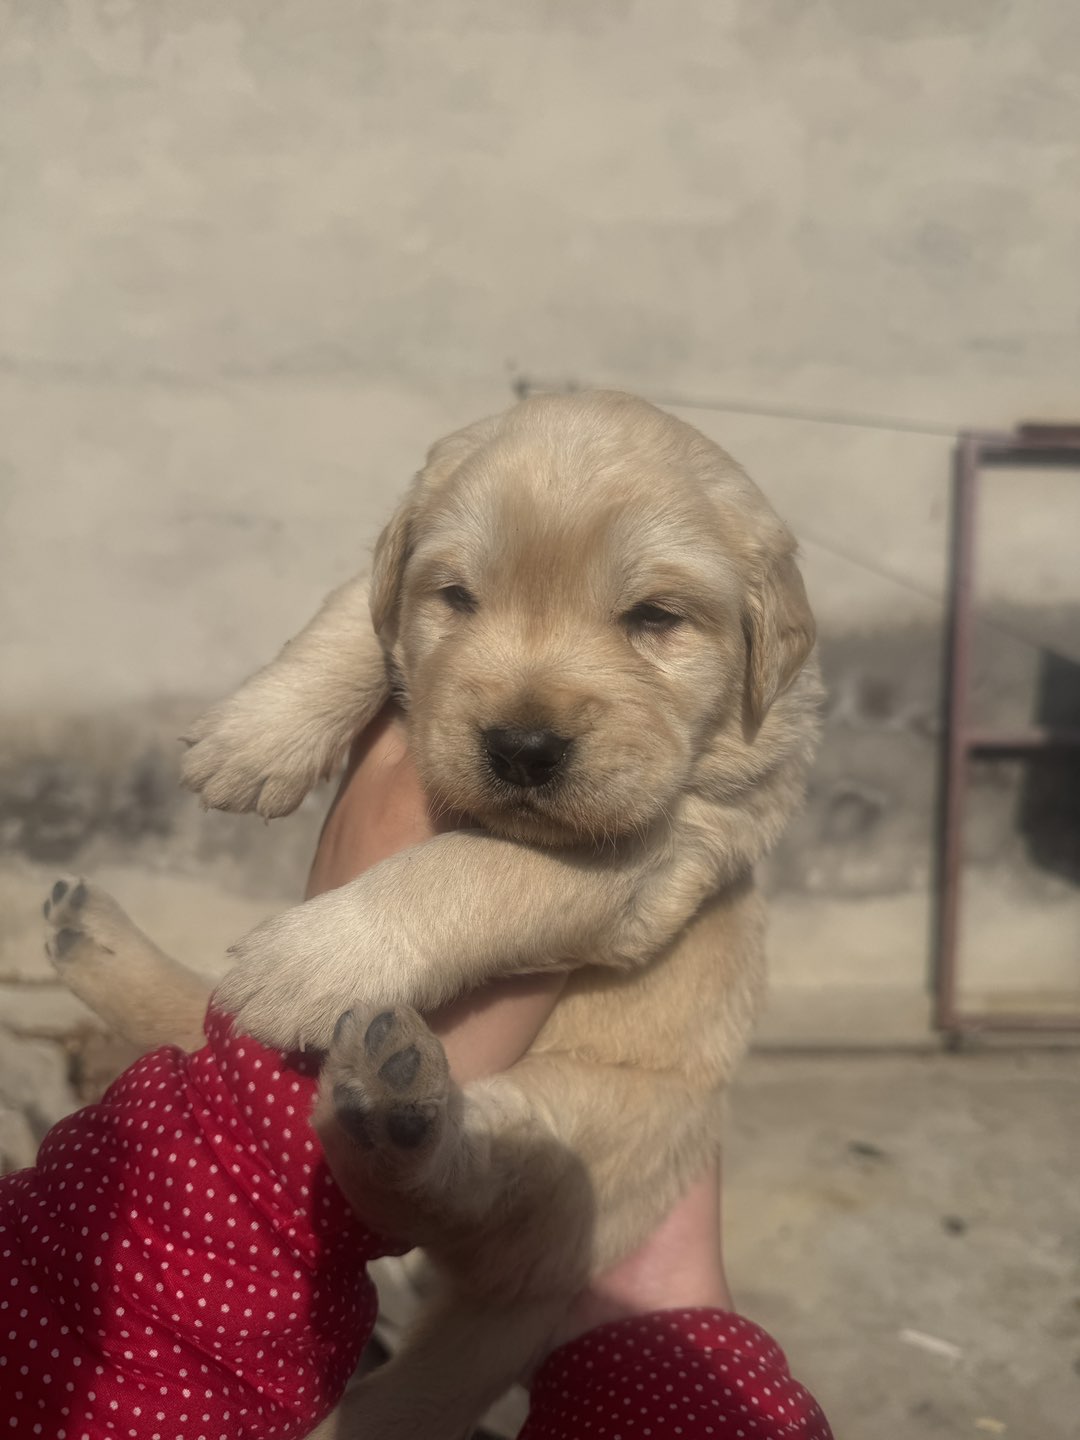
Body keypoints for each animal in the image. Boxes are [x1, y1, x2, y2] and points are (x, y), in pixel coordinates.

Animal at [45, 390, 821, 1439]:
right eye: (457, 597)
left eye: (655, 617)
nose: (523, 747)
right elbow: (357, 611)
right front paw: (260, 733)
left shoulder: (646, 854)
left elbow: (471, 869)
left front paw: (318, 958)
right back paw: (91, 932)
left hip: (591, 1132)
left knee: (458, 1187)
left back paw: (388, 1103)